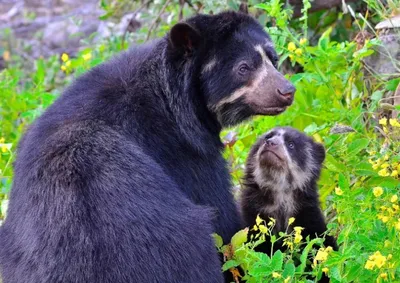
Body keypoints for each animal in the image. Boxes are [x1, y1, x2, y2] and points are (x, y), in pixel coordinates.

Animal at [0, 10, 294, 283]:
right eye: (243, 67)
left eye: (272, 59)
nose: (287, 90)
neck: (175, 100)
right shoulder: (183, 150)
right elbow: (223, 218)